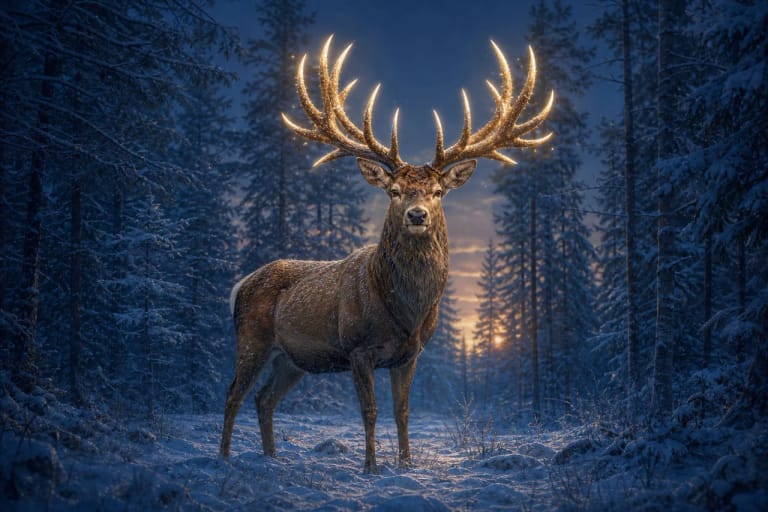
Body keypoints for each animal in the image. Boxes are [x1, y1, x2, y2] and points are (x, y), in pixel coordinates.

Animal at [220, 35, 553, 474]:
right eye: (394, 191)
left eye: (438, 191)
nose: (417, 214)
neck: (405, 311)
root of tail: (239, 286)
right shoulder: (357, 347)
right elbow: (370, 411)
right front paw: (371, 468)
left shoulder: (410, 354)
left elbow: (402, 412)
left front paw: (407, 465)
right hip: (252, 338)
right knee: (233, 395)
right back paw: (223, 458)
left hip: (291, 359)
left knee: (264, 398)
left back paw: (272, 458)